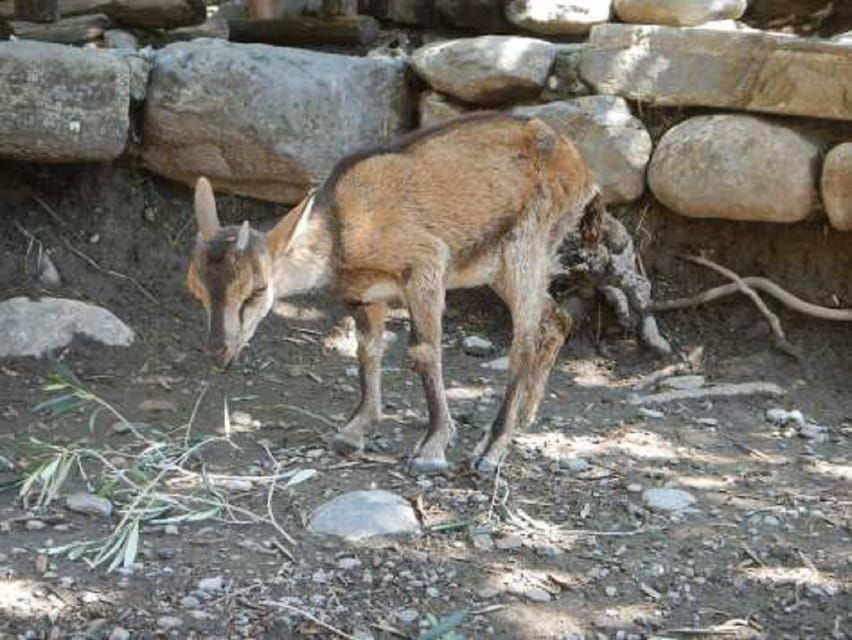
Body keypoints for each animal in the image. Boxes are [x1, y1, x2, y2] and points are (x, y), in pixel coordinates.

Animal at [188, 114, 600, 476]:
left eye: (257, 289)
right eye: (195, 289)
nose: (219, 351)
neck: (342, 228)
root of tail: (582, 169)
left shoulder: (426, 266)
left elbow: (425, 351)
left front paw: (432, 448)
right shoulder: (366, 296)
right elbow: (367, 350)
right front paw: (353, 432)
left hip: (526, 245)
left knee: (524, 340)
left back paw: (492, 449)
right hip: (498, 266)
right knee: (555, 318)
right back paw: (526, 415)